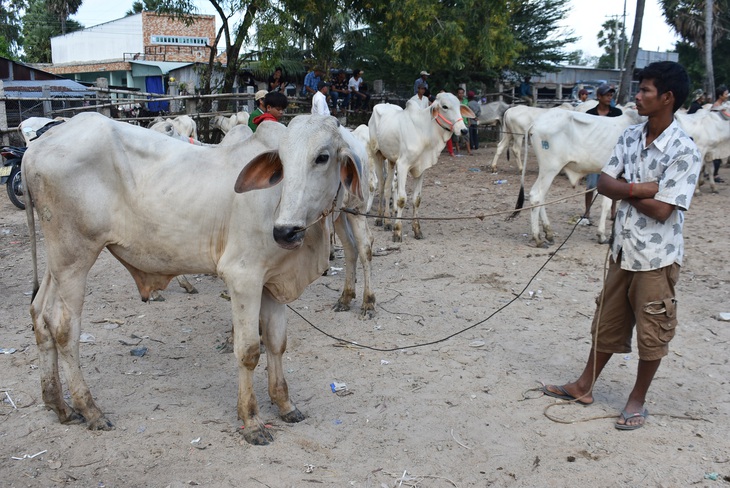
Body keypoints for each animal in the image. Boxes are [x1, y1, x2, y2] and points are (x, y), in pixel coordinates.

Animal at [24, 111, 364, 446]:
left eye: (322, 157)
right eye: (282, 158)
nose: (285, 231)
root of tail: (36, 146)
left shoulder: (272, 282)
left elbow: (277, 344)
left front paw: (285, 404)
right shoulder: (243, 276)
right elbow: (249, 351)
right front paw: (251, 420)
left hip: (58, 262)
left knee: (41, 315)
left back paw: (58, 404)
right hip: (74, 256)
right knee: (64, 328)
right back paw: (89, 409)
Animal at [366, 92, 474, 241]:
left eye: (459, 106)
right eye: (445, 106)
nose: (463, 130)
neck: (424, 131)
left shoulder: (421, 168)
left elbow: (416, 199)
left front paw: (417, 230)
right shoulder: (403, 165)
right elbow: (401, 199)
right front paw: (397, 231)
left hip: (391, 160)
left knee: (388, 188)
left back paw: (387, 221)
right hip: (377, 154)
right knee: (381, 186)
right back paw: (379, 219)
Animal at [510, 109, 640, 248]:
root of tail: (536, 122)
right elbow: (608, 204)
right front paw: (602, 235)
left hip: (546, 170)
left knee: (541, 197)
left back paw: (548, 233)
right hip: (550, 168)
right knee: (536, 196)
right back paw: (538, 238)